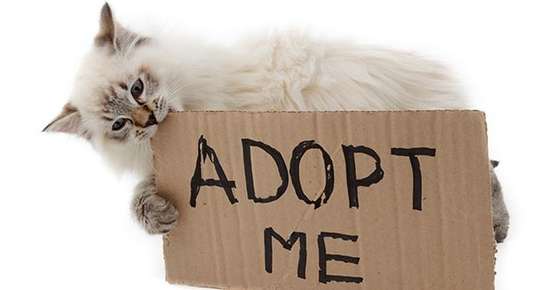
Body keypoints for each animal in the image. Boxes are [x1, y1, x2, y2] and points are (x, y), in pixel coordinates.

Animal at [42, 3, 508, 241]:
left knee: (485, 174)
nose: (148, 118)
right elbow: (141, 195)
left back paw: (495, 228)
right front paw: (158, 216)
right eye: (119, 126)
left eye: (137, 88)